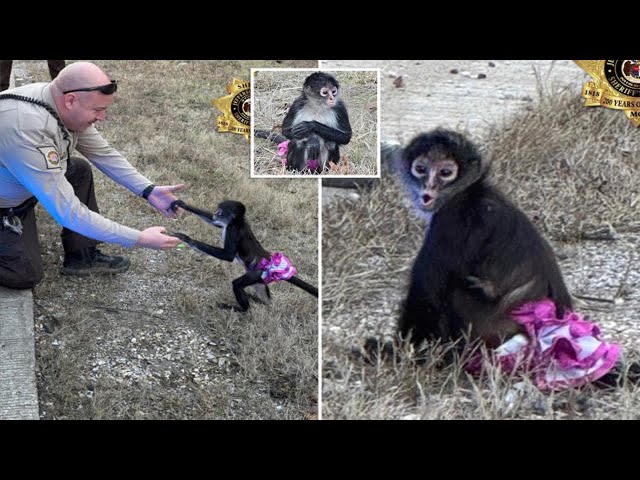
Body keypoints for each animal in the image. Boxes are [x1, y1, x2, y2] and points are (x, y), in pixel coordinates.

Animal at [171, 199, 318, 312]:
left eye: (220, 211)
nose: (215, 213)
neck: (238, 222)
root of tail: (272, 262)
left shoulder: (232, 229)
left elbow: (228, 255)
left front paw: (188, 239)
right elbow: (214, 222)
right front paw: (182, 204)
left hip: (257, 273)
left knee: (237, 284)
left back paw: (242, 310)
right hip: (260, 277)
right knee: (261, 292)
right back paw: (261, 302)